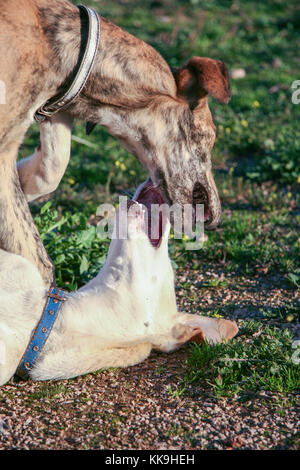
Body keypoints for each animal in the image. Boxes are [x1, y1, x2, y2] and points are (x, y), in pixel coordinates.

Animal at [0, 0, 231, 286]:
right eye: (210, 136)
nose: (217, 222)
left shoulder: (49, 110)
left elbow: (53, 165)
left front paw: (25, 180)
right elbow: (40, 264)